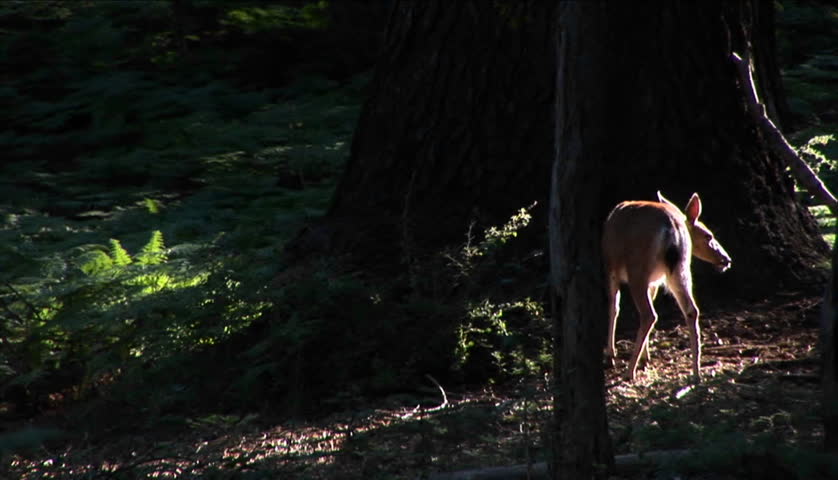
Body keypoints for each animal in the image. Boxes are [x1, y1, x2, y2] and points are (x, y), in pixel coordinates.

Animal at [602, 191, 731, 381]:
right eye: (708, 235)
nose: (726, 259)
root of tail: (673, 227)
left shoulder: (611, 268)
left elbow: (614, 307)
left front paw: (611, 356)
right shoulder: (654, 282)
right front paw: (645, 358)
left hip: (638, 269)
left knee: (648, 314)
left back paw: (629, 371)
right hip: (680, 269)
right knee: (691, 310)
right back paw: (696, 372)